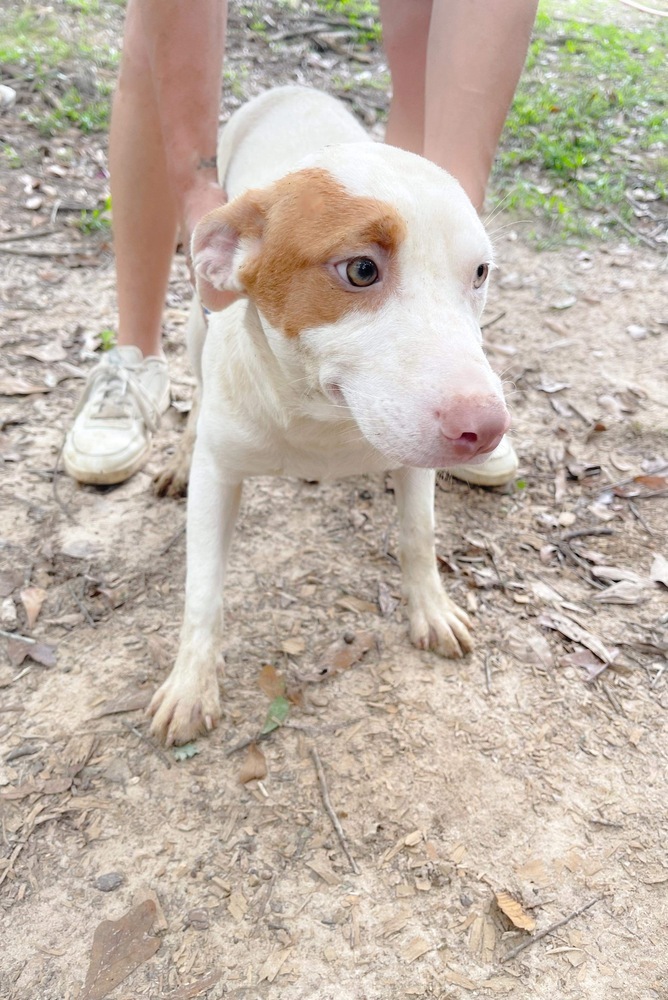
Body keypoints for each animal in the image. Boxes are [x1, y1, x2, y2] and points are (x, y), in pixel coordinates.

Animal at [149, 86, 508, 748]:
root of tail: (289, 88)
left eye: (480, 273)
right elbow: (202, 589)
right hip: (194, 324)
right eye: (361, 269)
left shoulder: (413, 464)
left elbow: (418, 536)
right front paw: (191, 685)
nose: (487, 430)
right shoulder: (221, 477)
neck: (318, 415)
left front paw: (431, 609)